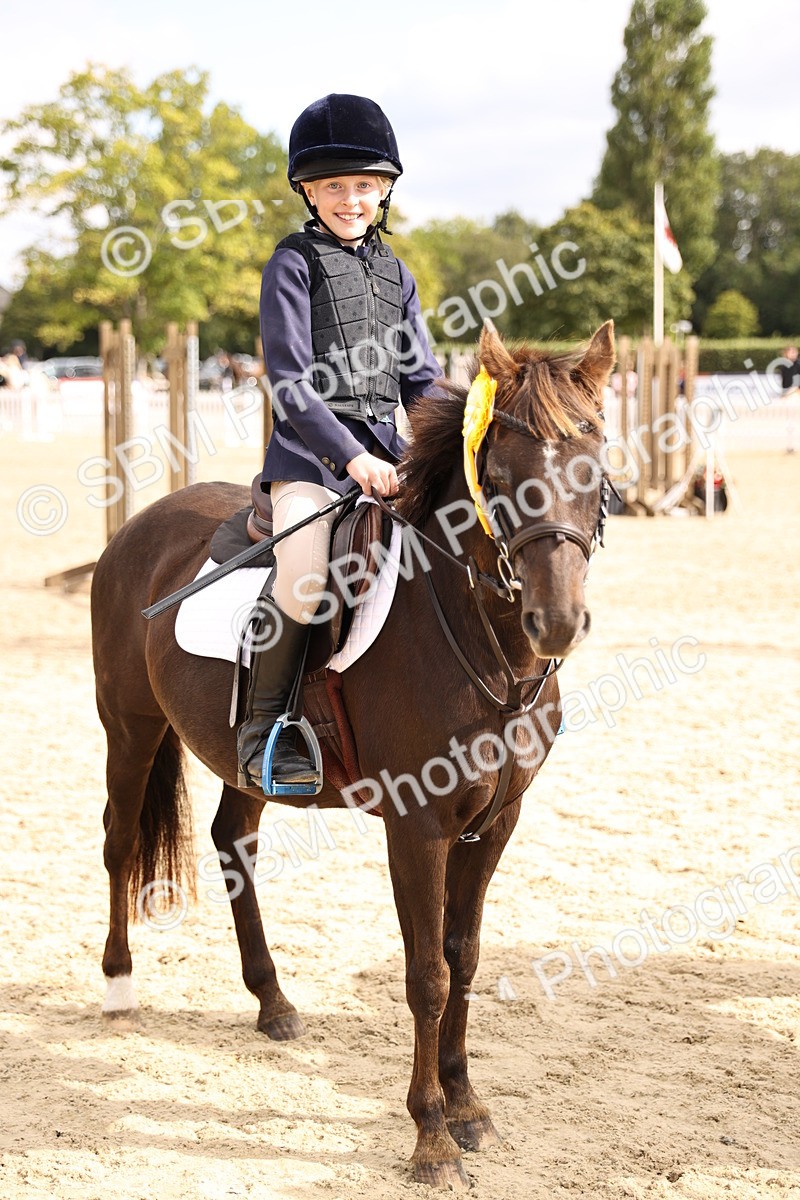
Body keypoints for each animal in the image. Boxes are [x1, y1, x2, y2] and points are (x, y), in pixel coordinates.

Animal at [91, 319, 615, 1190]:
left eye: (596, 466)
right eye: (498, 475)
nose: (558, 624)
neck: (478, 635)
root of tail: (140, 524)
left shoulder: (495, 823)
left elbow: (466, 957)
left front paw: (469, 1108)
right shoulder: (419, 826)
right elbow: (427, 975)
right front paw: (431, 1136)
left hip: (243, 762)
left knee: (232, 840)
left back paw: (272, 1002)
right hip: (129, 727)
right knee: (121, 842)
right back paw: (119, 987)